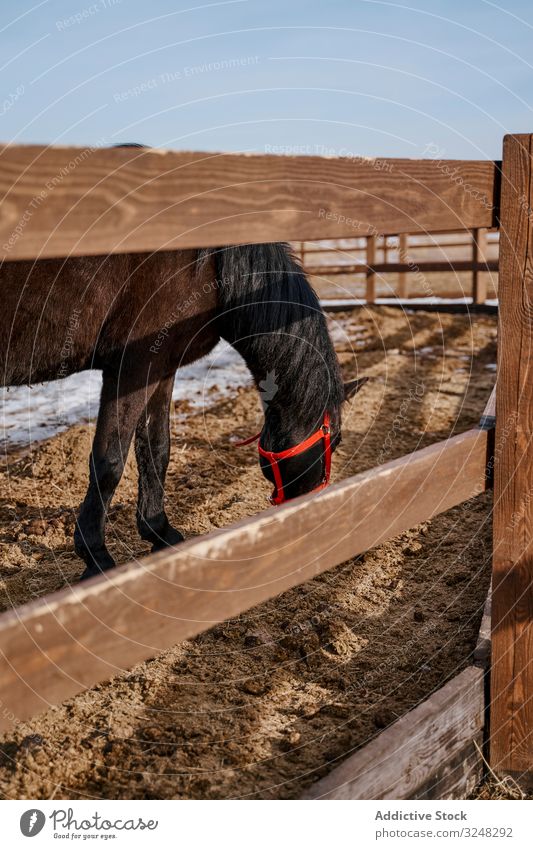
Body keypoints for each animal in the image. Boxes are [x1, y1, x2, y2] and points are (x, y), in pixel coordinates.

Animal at [0, 242, 364, 580]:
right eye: (335, 441)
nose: (313, 512)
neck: (210, 267)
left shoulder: (161, 366)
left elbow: (156, 449)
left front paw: (159, 531)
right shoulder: (132, 367)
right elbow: (109, 461)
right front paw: (96, 556)